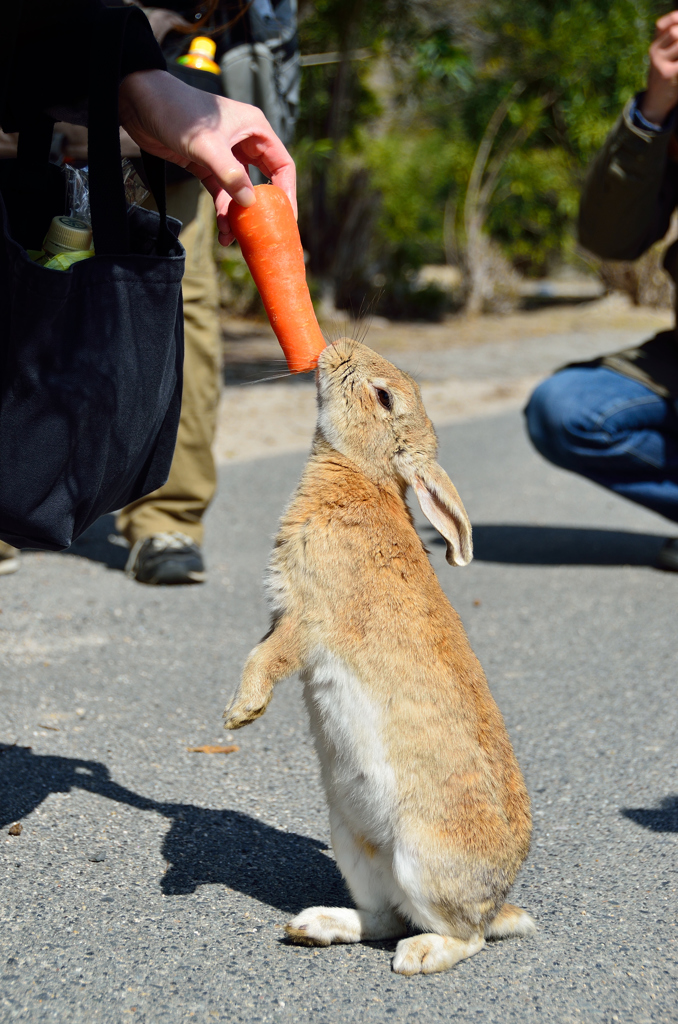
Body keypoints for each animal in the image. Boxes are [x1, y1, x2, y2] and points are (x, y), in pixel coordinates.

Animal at [225, 337, 540, 974]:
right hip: (354, 844)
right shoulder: (285, 614)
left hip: (424, 858)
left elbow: (270, 657)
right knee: (386, 914)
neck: (364, 475)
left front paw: (241, 714)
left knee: (459, 934)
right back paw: (313, 926)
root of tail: (497, 903)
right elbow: (262, 647)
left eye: (383, 396)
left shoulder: (310, 617)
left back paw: (417, 957)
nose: (337, 347)